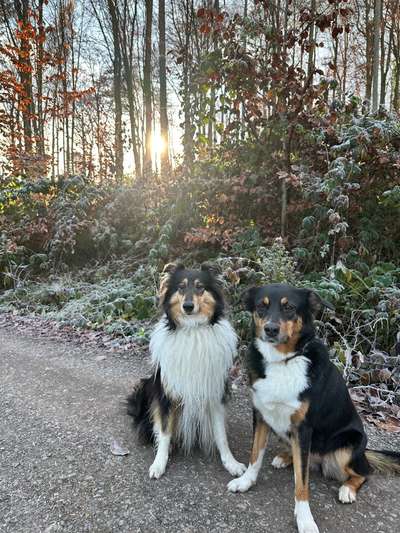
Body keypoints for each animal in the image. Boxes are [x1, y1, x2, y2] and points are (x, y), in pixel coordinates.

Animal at [126, 262, 245, 478]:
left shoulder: (214, 393)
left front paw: (231, 463)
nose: (188, 307)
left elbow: (221, 434)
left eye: (200, 287)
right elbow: (165, 432)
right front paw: (159, 463)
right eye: (181, 287)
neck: (192, 329)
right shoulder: (166, 395)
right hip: (148, 388)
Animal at [228, 282, 400, 532]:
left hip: (347, 446)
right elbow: (254, 455)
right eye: (262, 306)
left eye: (289, 307)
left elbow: (302, 483)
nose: (270, 329)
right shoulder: (261, 415)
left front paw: (305, 520)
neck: (283, 361)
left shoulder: (303, 428)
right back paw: (285, 457)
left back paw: (347, 490)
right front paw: (246, 482)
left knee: (363, 473)